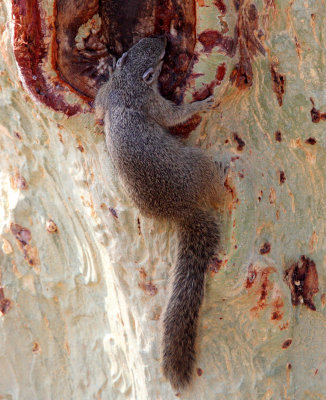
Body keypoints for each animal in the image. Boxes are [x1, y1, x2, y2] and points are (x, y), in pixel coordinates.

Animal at [95, 36, 228, 390]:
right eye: (154, 69)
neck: (126, 86)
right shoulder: (152, 104)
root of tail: (182, 211)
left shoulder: (106, 95)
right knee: (214, 190)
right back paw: (224, 177)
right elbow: (172, 116)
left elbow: (97, 101)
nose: (164, 39)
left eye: (139, 45)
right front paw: (202, 104)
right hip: (198, 165)